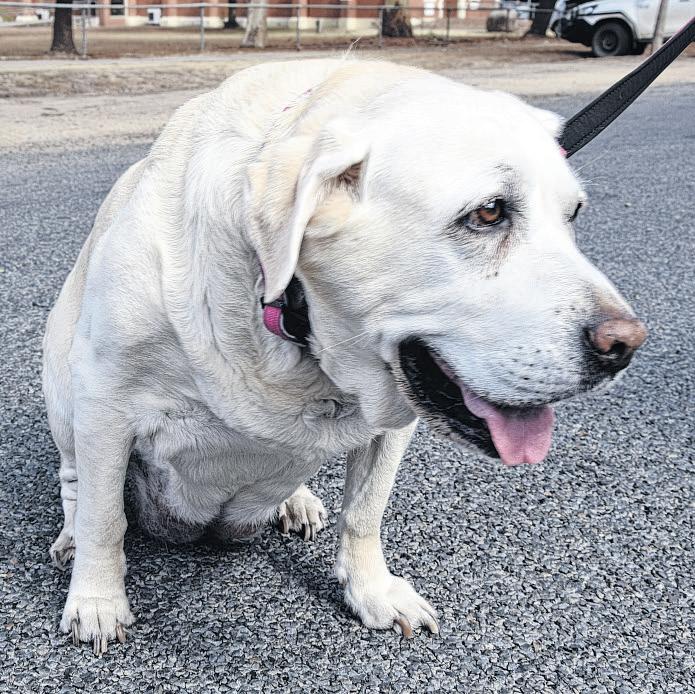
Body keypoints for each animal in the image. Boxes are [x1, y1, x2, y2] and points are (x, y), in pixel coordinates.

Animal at [42, 59, 647, 655]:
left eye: (573, 214)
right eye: (490, 212)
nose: (626, 346)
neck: (289, 318)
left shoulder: (395, 419)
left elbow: (365, 512)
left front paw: (371, 592)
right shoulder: (106, 401)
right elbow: (105, 517)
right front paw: (98, 601)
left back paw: (297, 501)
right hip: (62, 386)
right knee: (77, 485)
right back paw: (72, 540)